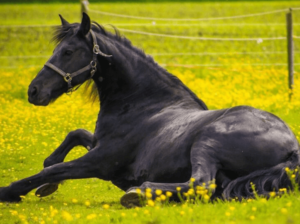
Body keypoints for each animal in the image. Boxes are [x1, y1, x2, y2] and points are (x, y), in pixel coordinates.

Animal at [0, 13, 300, 207]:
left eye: (68, 52)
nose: (33, 91)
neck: (145, 104)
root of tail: (292, 147)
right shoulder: (97, 144)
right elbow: (73, 137)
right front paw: (47, 182)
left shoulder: (100, 161)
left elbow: (53, 170)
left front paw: (10, 191)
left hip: (207, 142)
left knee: (201, 184)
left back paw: (140, 192)